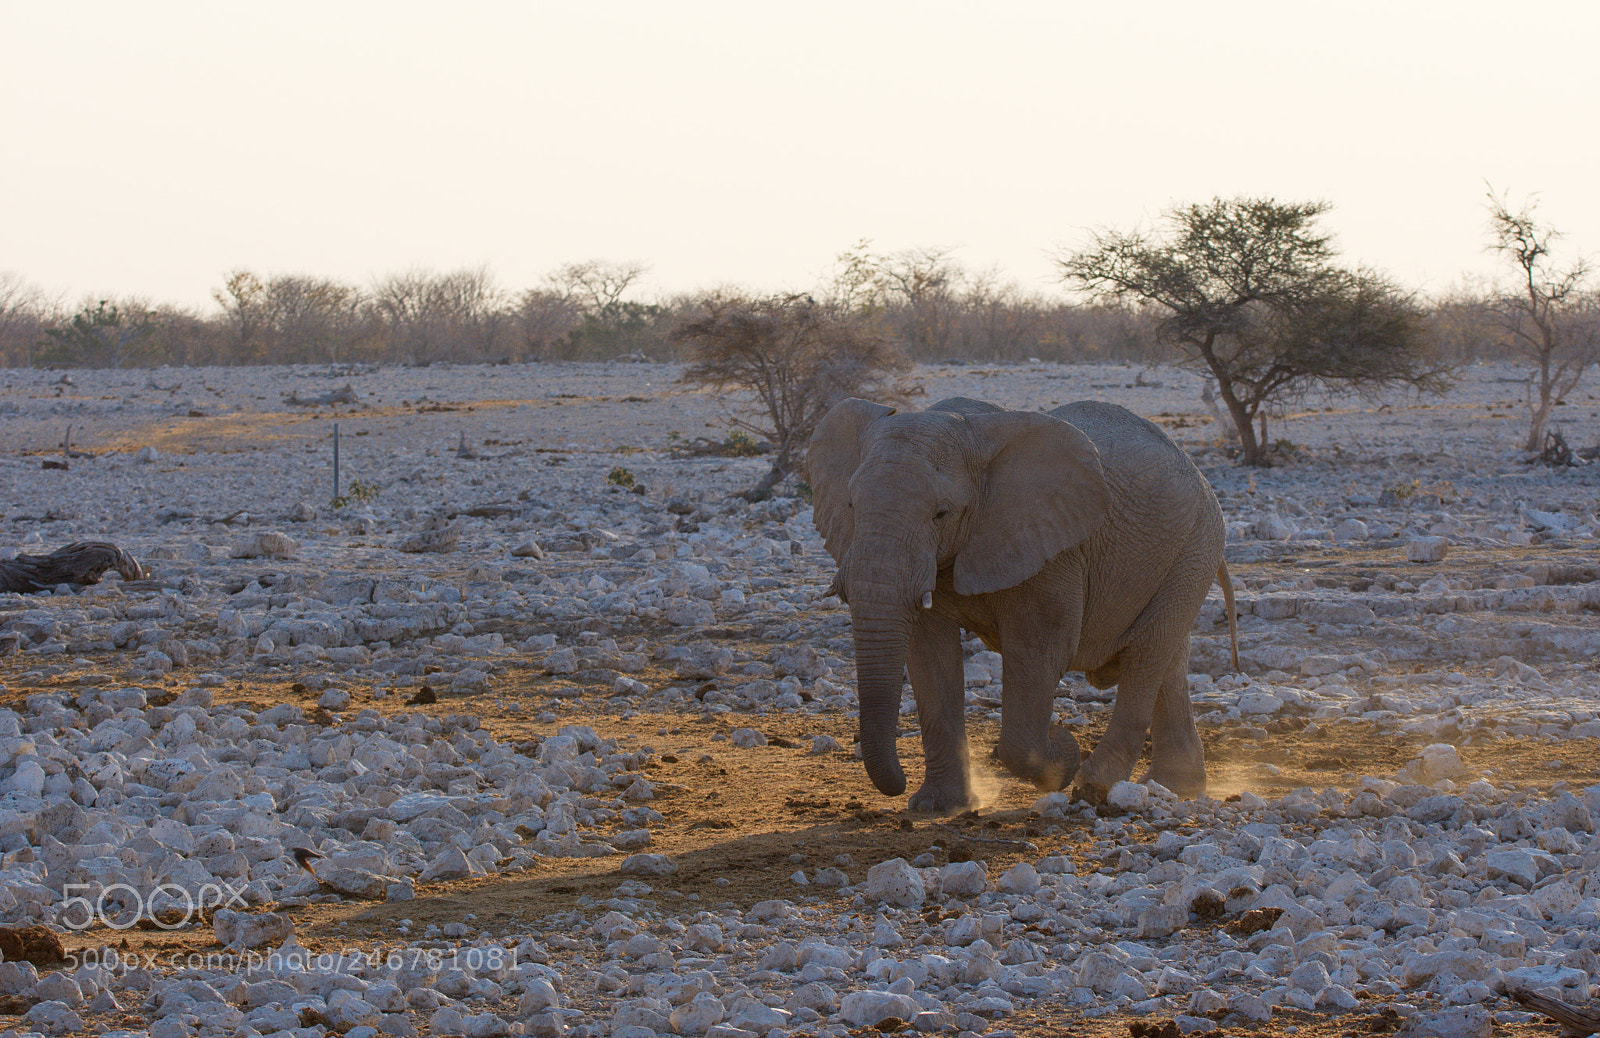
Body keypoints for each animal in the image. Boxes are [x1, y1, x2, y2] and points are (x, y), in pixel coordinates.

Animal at [806, 395, 1238, 810]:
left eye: (941, 514)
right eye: (850, 506)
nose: (899, 784)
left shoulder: (1051, 549)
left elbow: (1038, 649)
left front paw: (1063, 753)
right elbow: (930, 654)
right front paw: (936, 806)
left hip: (1195, 547)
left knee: (1146, 655)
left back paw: (1093, 788)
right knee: (1169, 659)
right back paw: (1173, 787)